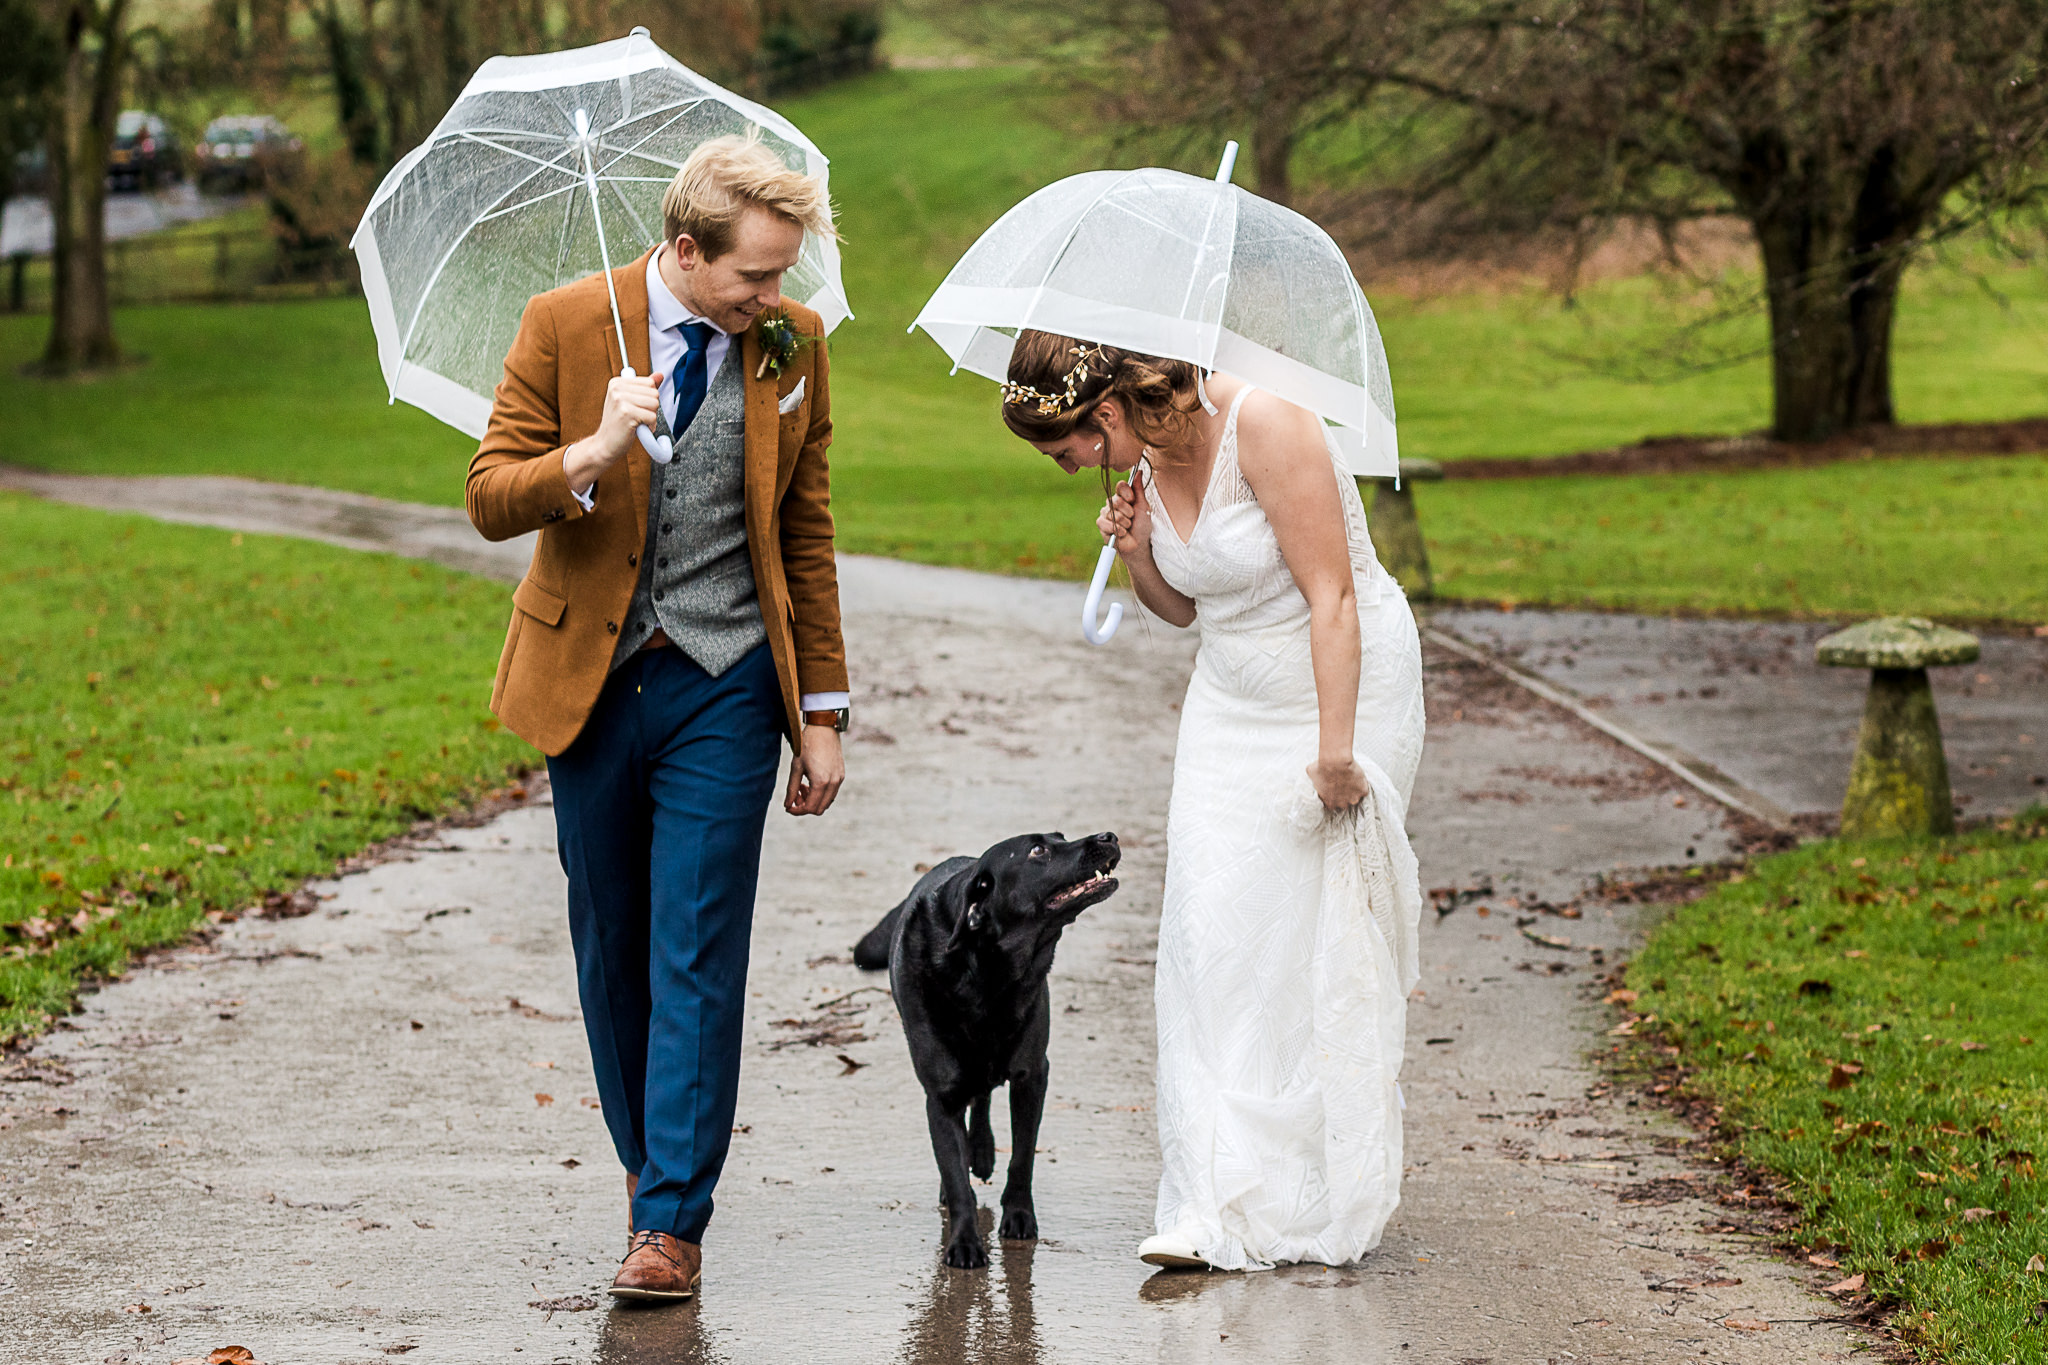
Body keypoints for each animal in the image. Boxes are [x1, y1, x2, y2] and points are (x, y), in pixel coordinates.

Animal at [856, 834, 1130, 1268]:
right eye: (1038, 850)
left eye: (1061, 836)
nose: (1108, 836)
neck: (987, 976)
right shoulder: (941, 1098)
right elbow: (956, 1178)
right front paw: (964, 1242)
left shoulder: (1032, 1075)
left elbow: (1022, 1157)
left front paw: (1018, 1216)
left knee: (983, 1097)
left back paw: (982, 1152)